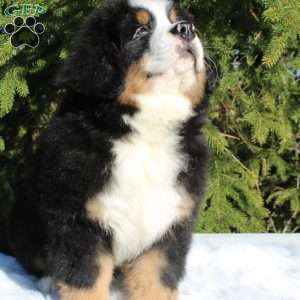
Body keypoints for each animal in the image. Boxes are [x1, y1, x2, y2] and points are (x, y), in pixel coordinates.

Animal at [7, 0, 210, 300]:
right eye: (140, 31)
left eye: (179, 19)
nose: (186, 29)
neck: (146, 133)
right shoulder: (78, 220)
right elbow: (85, 281)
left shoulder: (171, 222)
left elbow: (156, 279)